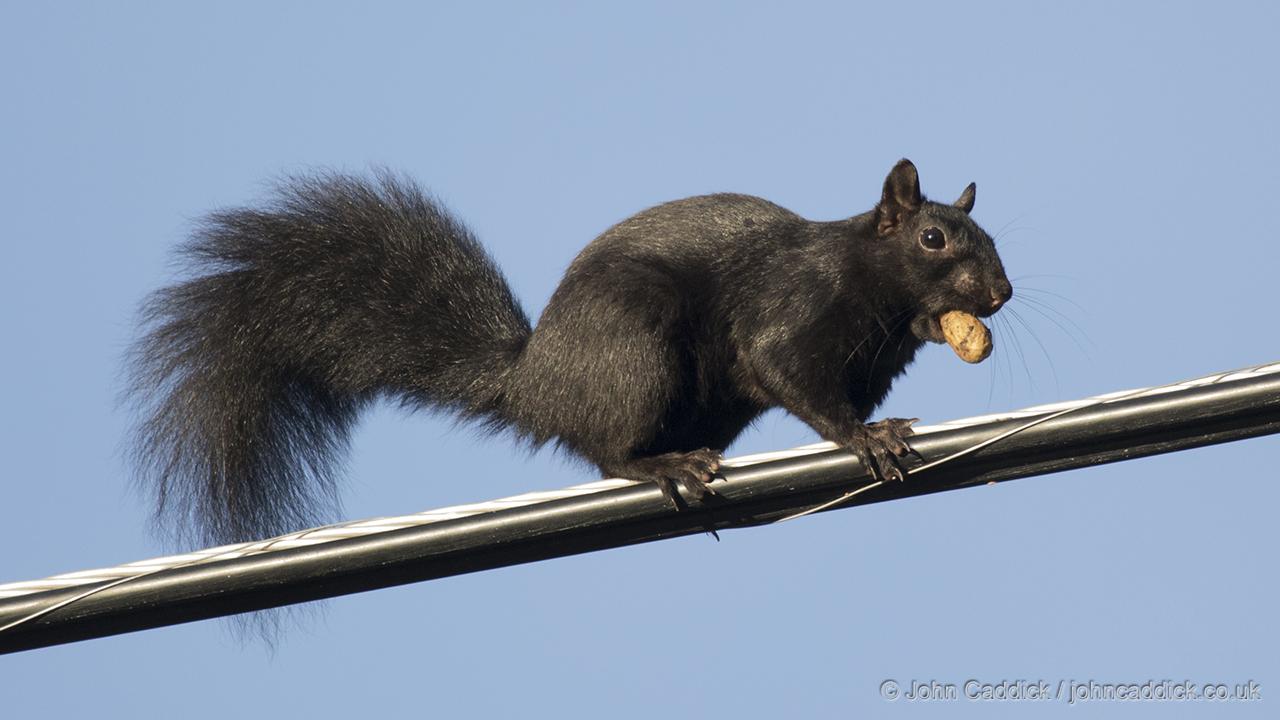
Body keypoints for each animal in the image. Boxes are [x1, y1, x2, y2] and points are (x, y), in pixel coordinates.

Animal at [127, 159, 1012, 547]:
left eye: (991, 237)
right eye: (933, 239)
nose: (1001, 293)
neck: (877, 295)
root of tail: (534, 383)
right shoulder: (788, 311)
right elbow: (788, 373)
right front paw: (867, 438)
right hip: (633, 340)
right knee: (604, 450)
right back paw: (660, 466)